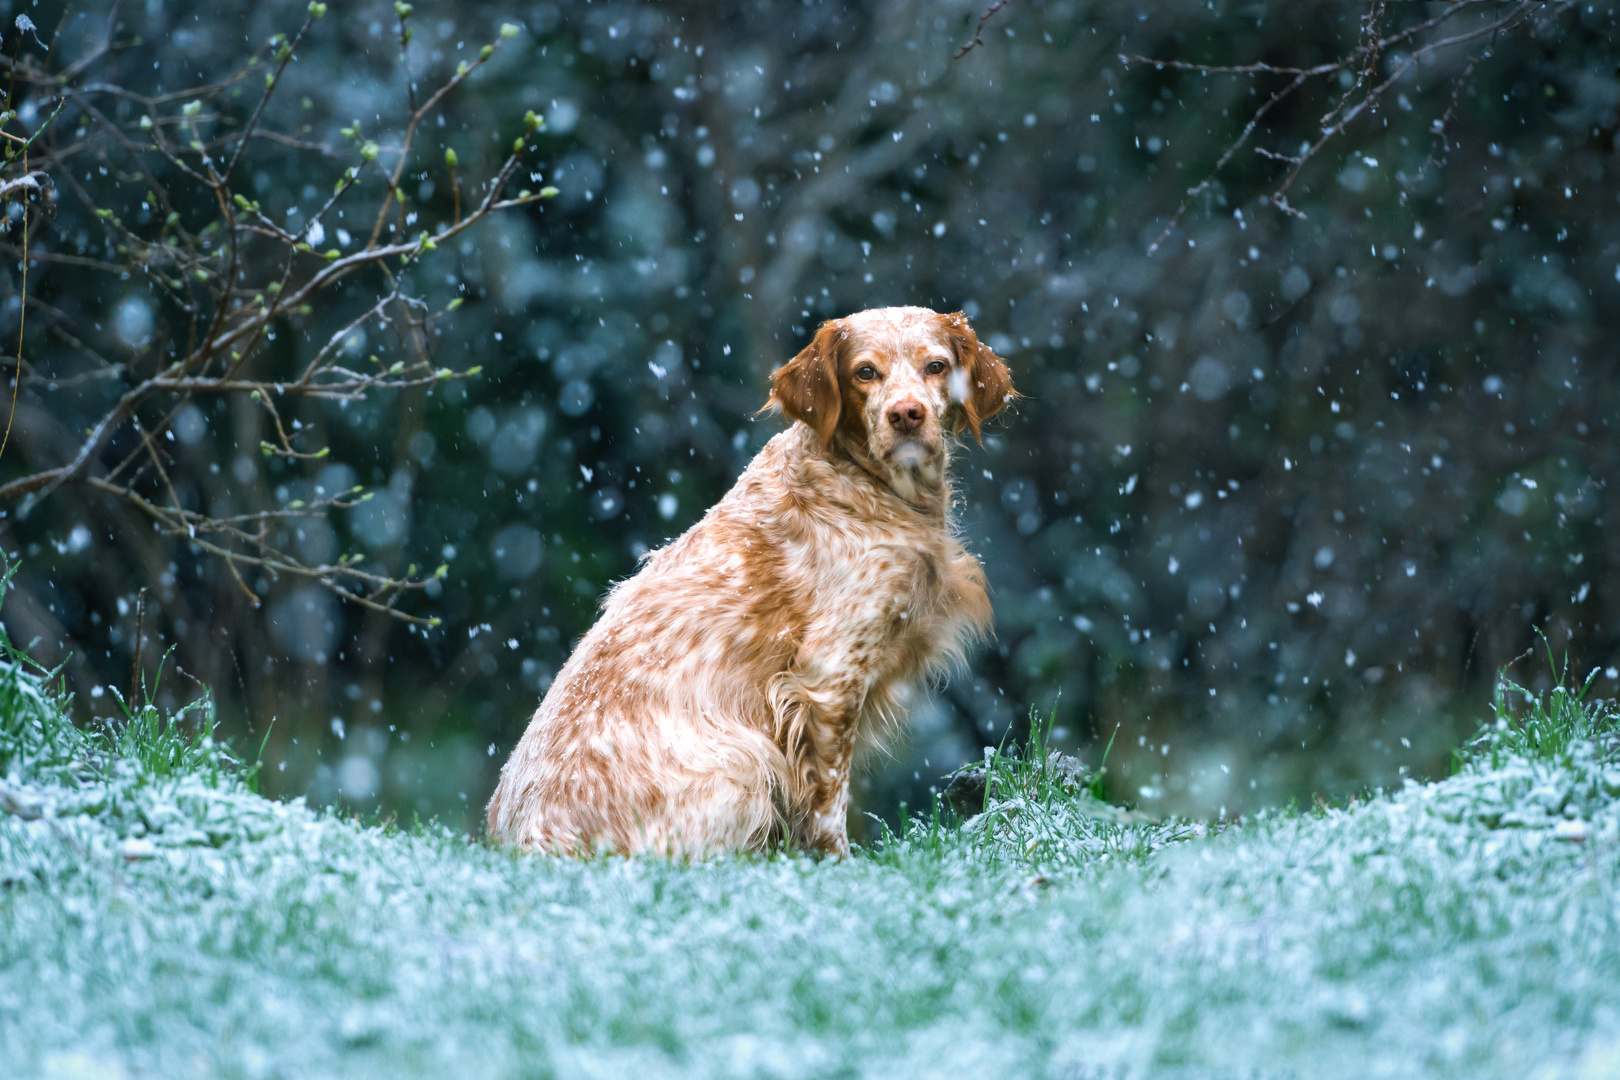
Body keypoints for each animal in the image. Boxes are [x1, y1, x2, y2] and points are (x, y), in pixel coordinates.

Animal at [479, 307, 1010, 854]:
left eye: (936, 366)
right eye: (865, 372)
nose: (906, 414)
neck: (863, 483)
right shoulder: (830, 678)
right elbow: (828, 806)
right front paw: (841, 864)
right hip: (746, 762)